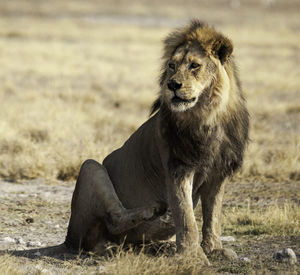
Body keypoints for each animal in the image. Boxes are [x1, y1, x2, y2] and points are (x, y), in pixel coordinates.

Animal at [64, 20, 250, 264]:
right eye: (172, 65)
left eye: (194, 65)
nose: (172, 85)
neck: (207, 117)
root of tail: (68, 238)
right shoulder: (178, 167)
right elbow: (186, 216)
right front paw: (192, 256)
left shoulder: (218, 173)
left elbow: (213, 215)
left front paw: (214, 249)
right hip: (90, 168)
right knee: (113, 221)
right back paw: (154, 211)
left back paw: (162, 244)